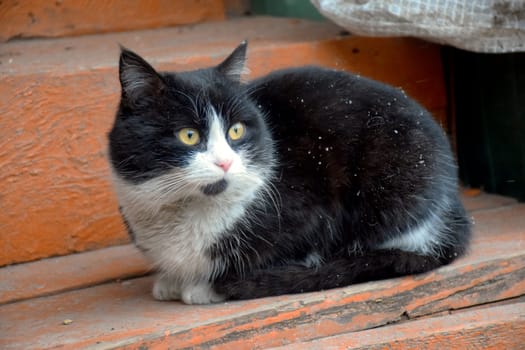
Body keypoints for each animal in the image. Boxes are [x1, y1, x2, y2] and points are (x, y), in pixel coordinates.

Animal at [108, 40, 468, 304]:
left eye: (236, 131)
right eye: (189, 136)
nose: (225, 162)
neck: (187, 209)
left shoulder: (310, 210)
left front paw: (204, 286)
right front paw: (170, 280)